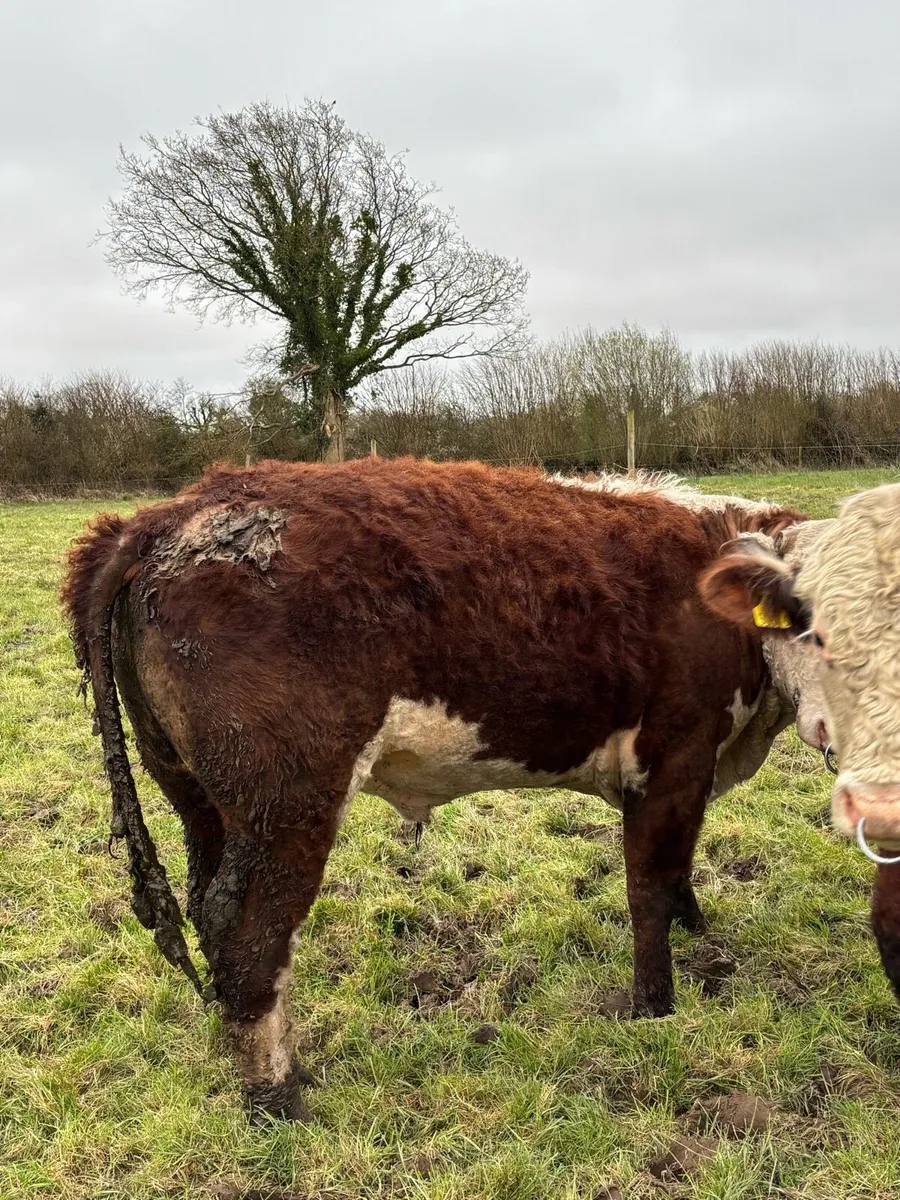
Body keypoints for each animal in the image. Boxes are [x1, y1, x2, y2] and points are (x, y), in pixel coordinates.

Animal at [61, 457, 826, 1121]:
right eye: (808, 621)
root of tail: (175, 510)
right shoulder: (672, 758)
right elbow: (649, 887)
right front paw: (655, 1008)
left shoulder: (690, 771)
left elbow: (678, 870)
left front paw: (697, 929)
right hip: (288, 806)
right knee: (246, 940)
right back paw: (277, 1095)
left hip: (200, 799)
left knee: (204, 906)